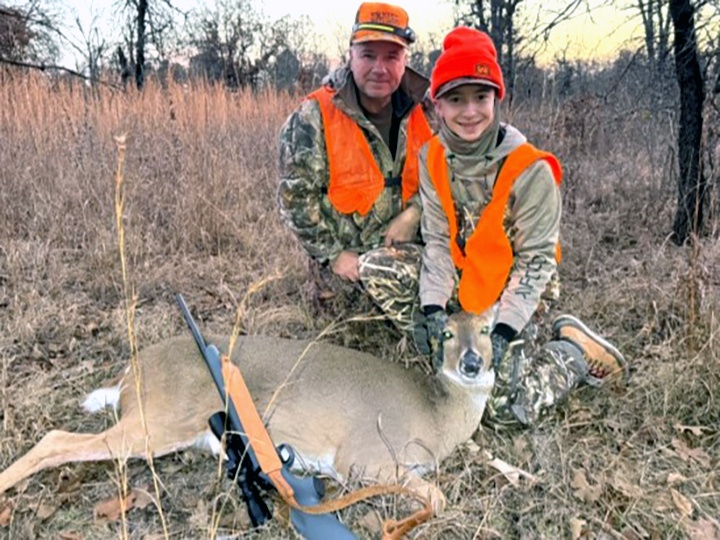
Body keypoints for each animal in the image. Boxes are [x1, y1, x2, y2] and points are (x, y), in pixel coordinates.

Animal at [0, 310, 496, 519]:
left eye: (490, 329)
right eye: (447, 333)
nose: (473, 363)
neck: (435, 413)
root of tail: (131, 371)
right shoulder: (361, 456)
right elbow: (436, 497)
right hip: (158, 421)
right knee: (56, 438)